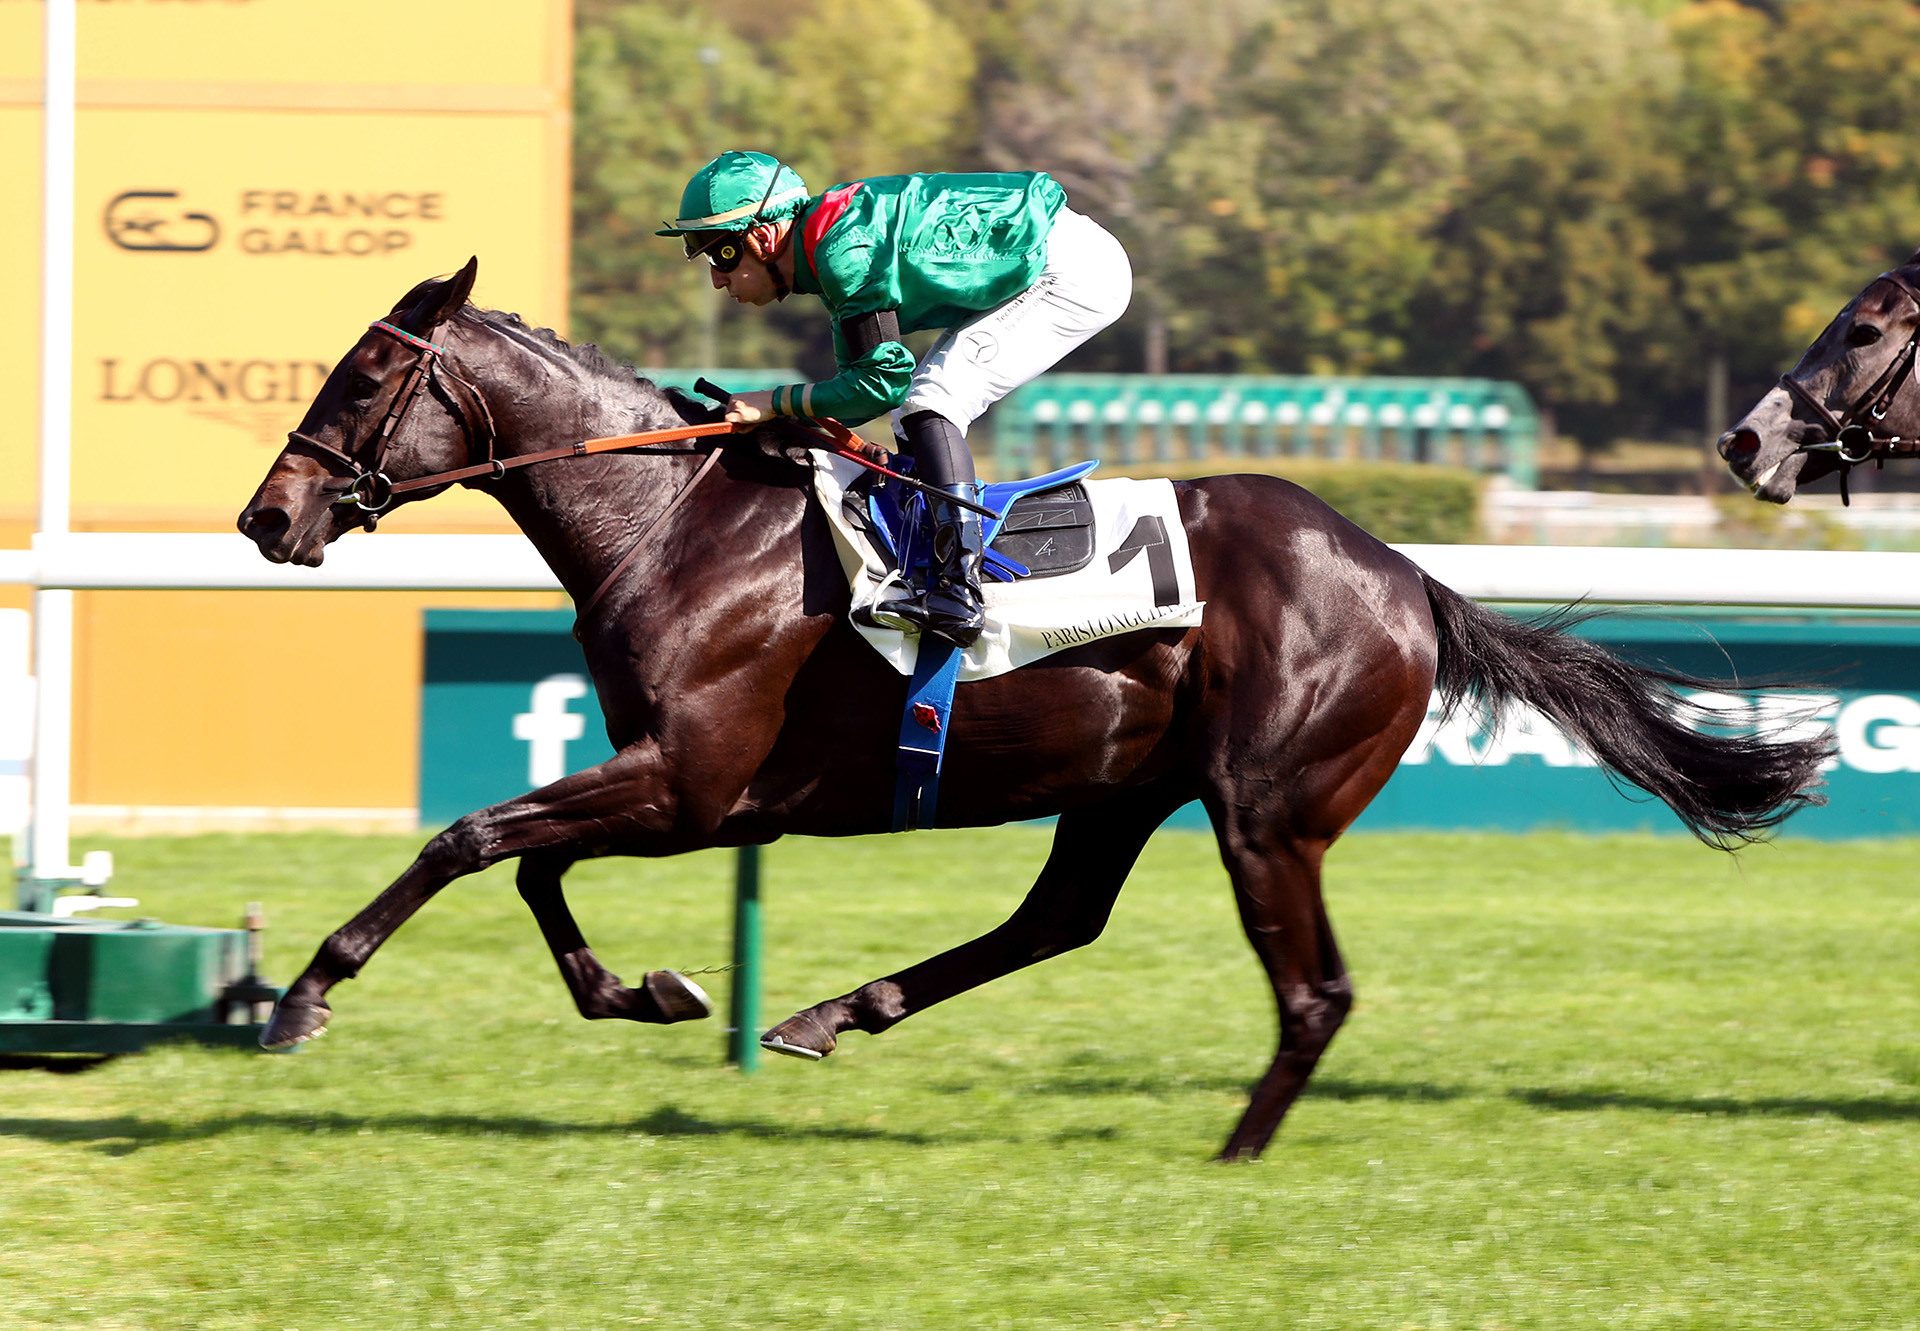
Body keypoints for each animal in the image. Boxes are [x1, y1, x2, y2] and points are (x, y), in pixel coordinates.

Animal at [240, 257, 1827, 1152]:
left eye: (367, 374)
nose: (268, 515)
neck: (673, 518)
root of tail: (1404, 574)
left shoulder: (691, 782)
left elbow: (470, 837)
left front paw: (303, 992)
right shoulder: (692, 788)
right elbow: (529, 865)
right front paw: (647, 987)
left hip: (1265, 808)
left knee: (1310, 989)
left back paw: (1236, 1152)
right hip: (1123, 784)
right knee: (1057, 918)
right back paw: (837, 1009)